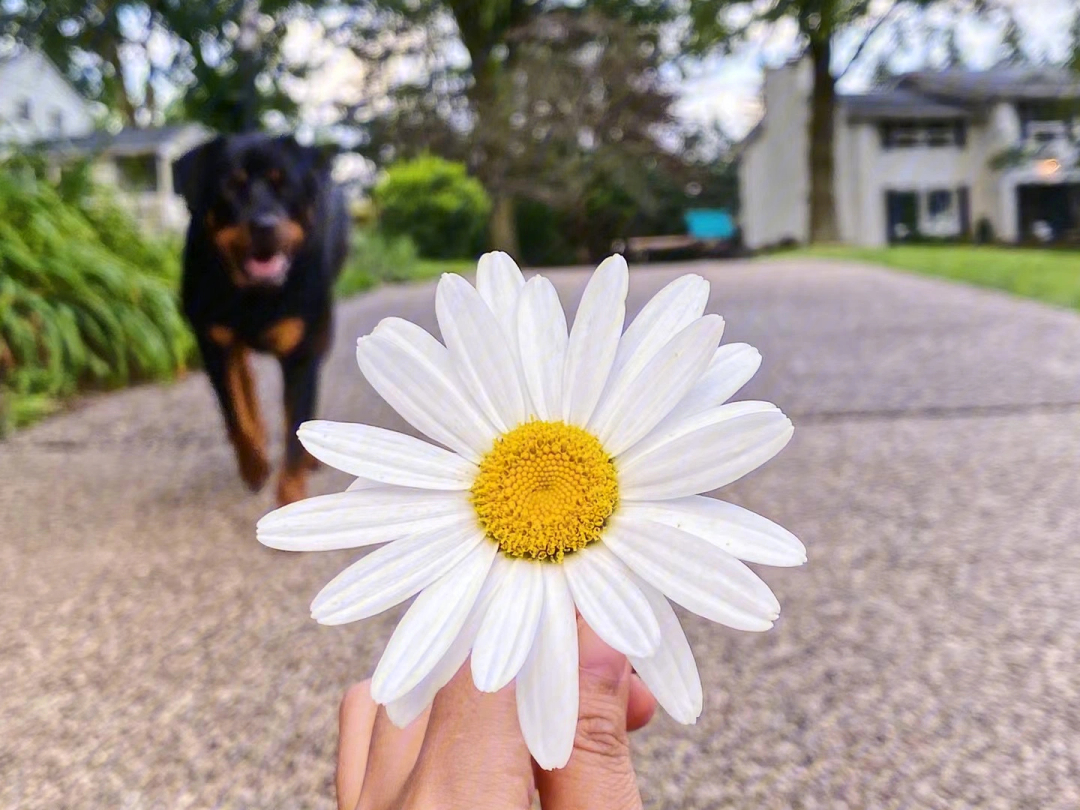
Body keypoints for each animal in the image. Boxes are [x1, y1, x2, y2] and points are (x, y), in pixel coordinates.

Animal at [174, 135, 347, 505]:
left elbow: (295, 423)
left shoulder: (301, 353)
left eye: (286, 186)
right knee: (246, 382)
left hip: (322, 330)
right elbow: (235, 414)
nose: (264, 225)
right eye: (230, 186)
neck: (255, 298)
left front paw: (292, 495)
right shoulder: (213, 344)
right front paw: (253, 465)